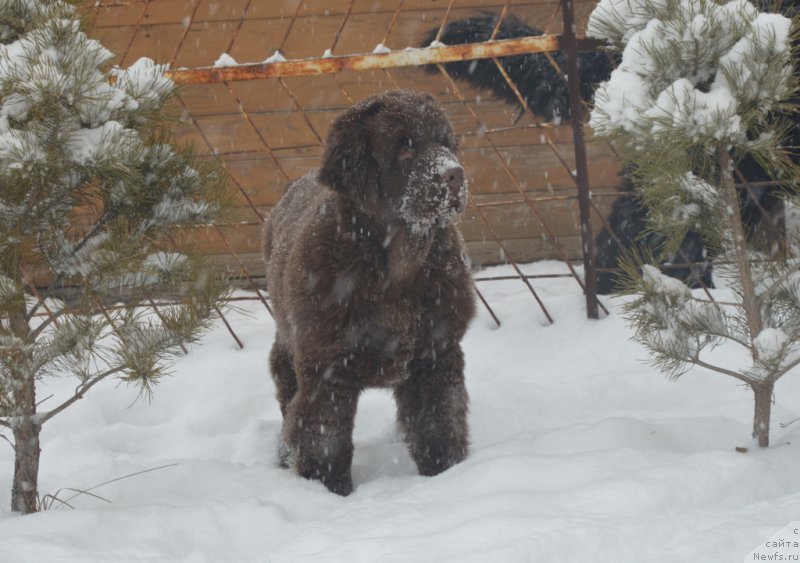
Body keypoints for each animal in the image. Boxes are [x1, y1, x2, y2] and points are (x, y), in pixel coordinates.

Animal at [262, 90, 476, 496]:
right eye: (404, 148)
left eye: (445, 142)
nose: (455, 174)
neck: (394, 268)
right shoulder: (325, 371)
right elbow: (325, 442)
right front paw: (329, 494)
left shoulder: (435, 355)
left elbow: (438, 426)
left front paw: (446, 478)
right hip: (288, 346)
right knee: (287, 401)